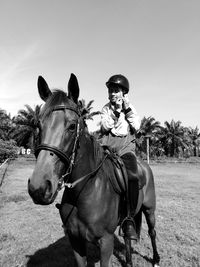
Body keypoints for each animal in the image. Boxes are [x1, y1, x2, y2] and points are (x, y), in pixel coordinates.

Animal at [28, 74, 160, 267]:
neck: (85, 190)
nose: (38, 188)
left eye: (72, 126)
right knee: (128, 237)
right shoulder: (75, 241)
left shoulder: (106, 242)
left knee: (152, 232)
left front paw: (122, 106)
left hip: (149, 209)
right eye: (38, 125)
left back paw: (156, 259)